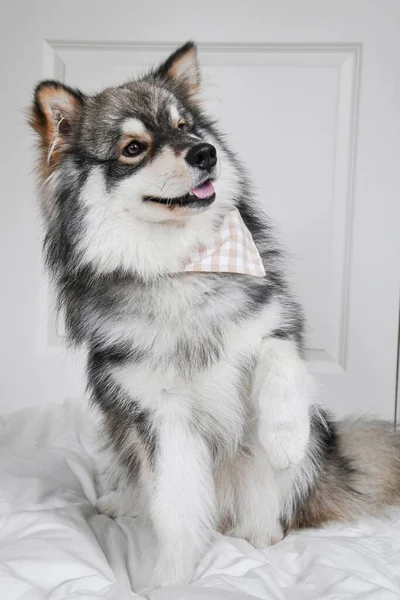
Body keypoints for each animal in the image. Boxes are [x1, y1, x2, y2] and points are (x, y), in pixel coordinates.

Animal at [29, 42, 400, 592]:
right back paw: (122, 500)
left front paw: (284, 435)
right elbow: (176, 506)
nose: (206, 153)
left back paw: (263, 528)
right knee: (143, 482)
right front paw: (169, 579)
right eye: (133, 148)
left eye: (185, 126)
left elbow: (277, 359)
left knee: (273, 511)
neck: (179, 264)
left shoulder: (277, 320)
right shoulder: (159, 415)